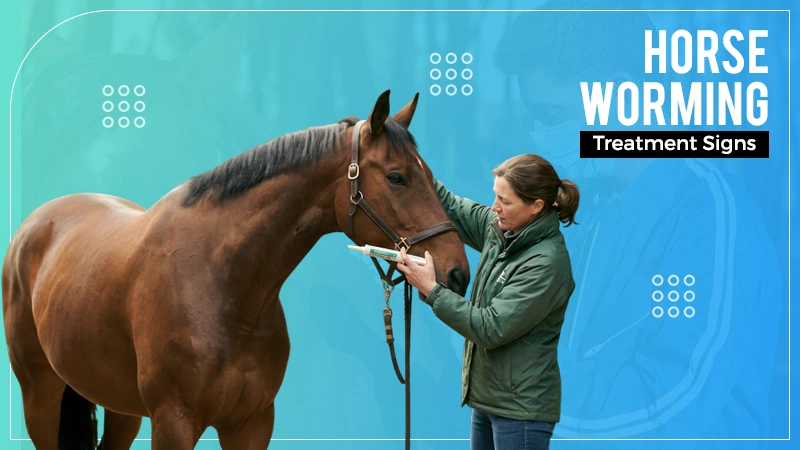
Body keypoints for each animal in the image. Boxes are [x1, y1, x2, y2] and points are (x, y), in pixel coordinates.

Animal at [3, 90, 470, 449]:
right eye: (397, 177)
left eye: (430, 175)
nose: (456, 274)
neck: (222, 283)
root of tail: (36, 222)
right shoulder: (174, 422)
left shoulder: (252, 423)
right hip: (40, 396)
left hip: (120, 406)